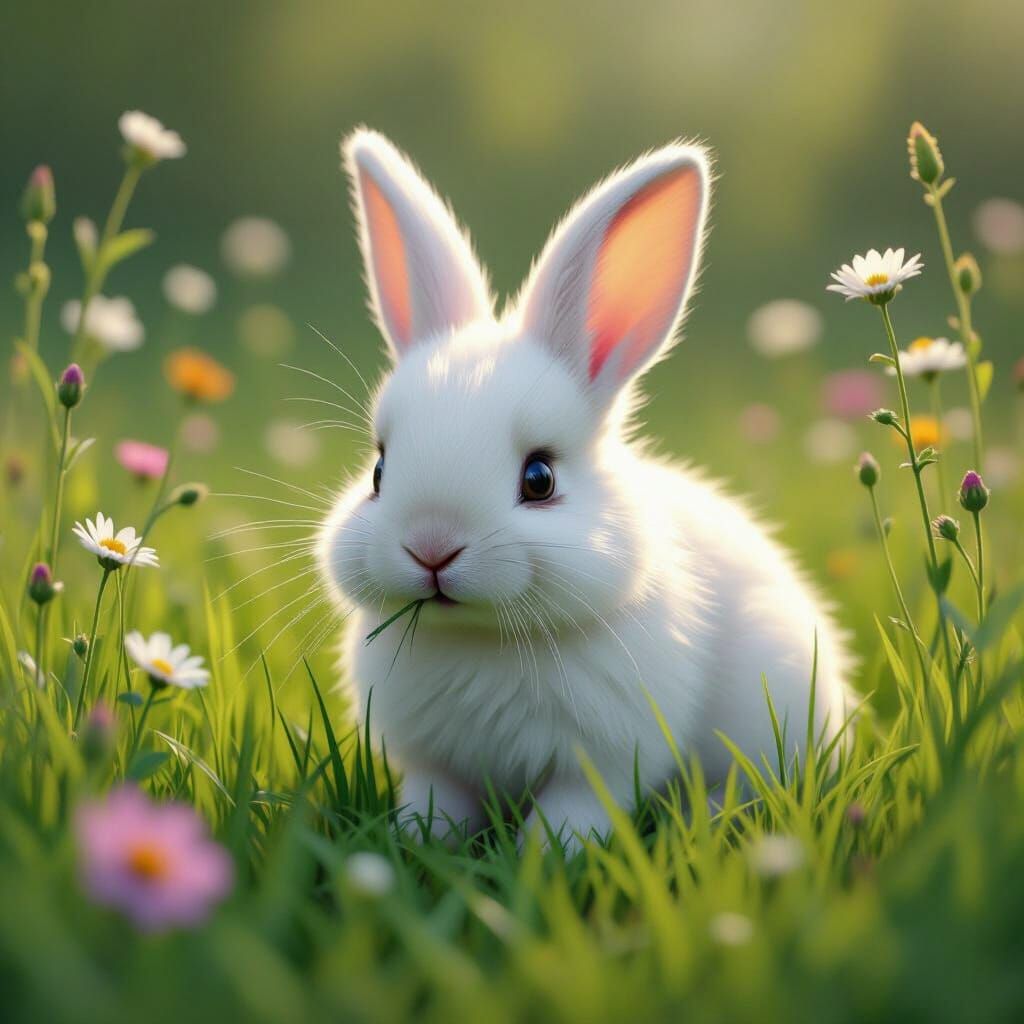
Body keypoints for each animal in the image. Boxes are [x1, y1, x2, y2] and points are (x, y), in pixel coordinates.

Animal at [319, 128, 851, 849]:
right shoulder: (437, 768)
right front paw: (415, 844)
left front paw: (543, 859)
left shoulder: (600, 763)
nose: (432, 547)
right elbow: (437, 806)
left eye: (539, 479)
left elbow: (571, 818)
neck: (483, 638)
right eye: (378, 471)